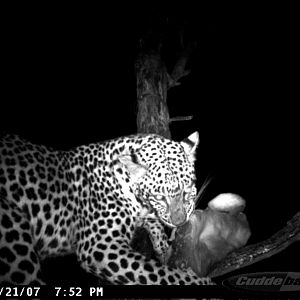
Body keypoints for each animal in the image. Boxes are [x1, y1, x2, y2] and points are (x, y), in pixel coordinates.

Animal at [0, 132, 213, 284]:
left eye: (187, 190)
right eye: (160, 196)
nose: (180, 221)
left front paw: (164, 247)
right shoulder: (100, 246)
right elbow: (160, 274)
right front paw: (199, 282)